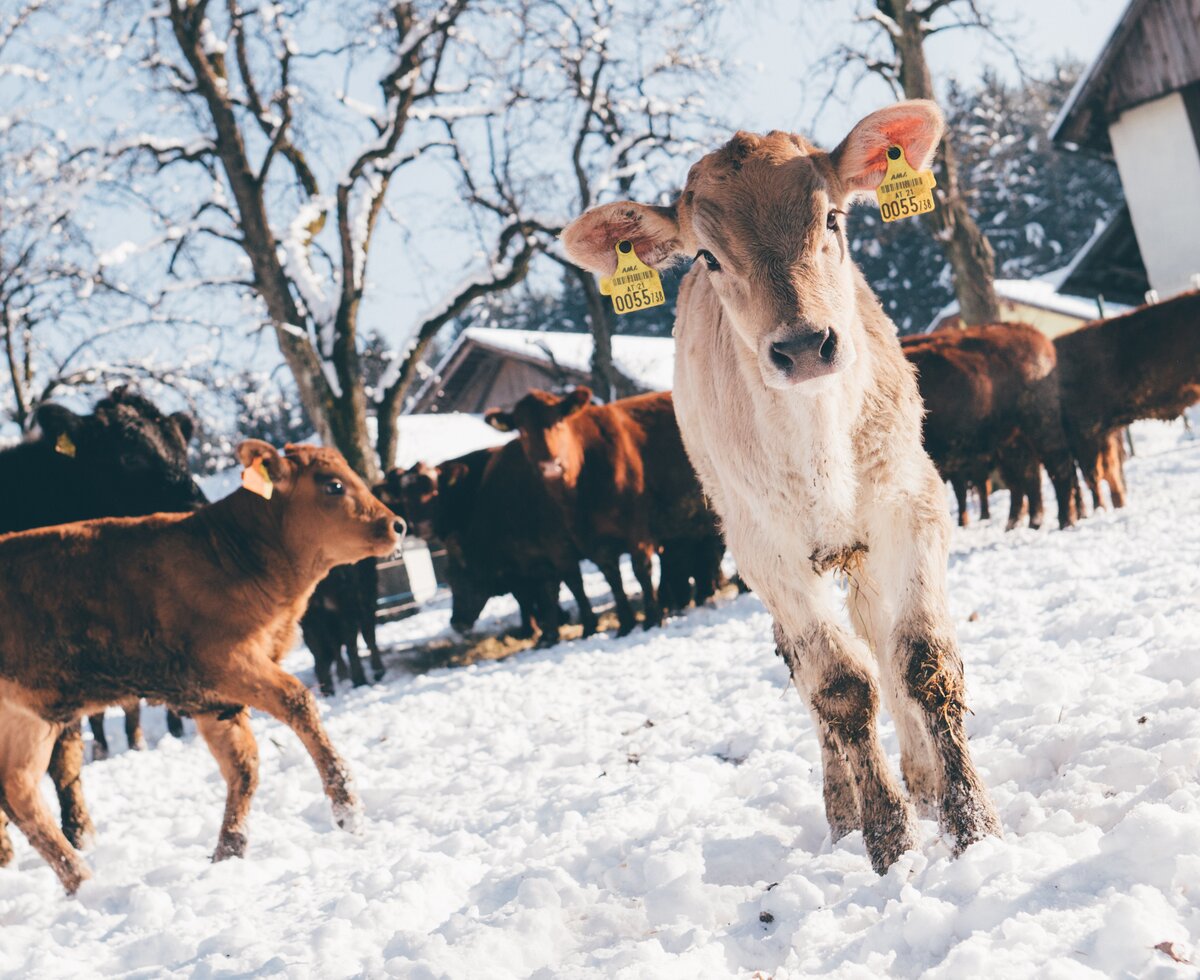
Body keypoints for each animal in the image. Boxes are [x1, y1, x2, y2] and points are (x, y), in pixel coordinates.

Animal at [0, 439, 403, 892]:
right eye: (333, 484)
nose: (397, 525)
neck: (233, 553)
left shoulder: (216, 700)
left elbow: (243, 765)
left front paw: (229, 848)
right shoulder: (230, 662)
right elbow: (297, 701)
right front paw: (347, 806)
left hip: (29, 719)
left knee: (18, 791)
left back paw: (81, 881)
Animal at [561, 101, 1003, 873]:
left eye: (833, 217)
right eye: (707, 256)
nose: (803, 345)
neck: (819, 444)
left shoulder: (913, 501)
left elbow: (920, 659)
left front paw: (971, 825)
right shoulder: (762, 550)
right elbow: (839, 686)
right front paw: (886, 840)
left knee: (876, 630)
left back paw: (919, 777)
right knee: (805, 663)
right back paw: (843, 813)